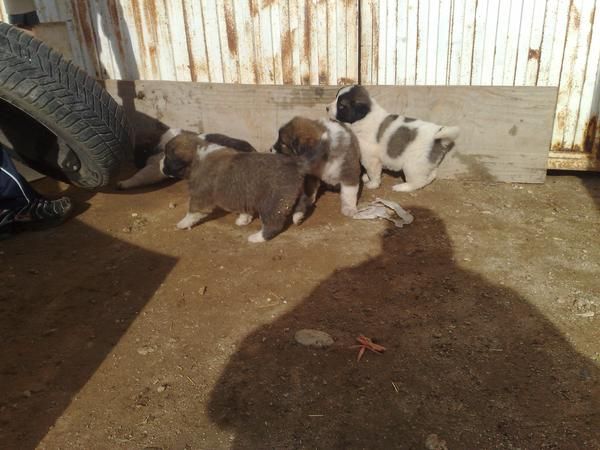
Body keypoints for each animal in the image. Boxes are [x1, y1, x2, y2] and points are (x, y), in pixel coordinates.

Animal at [159, 132, 318, 243]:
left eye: (167, 157)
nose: (159, 164)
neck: (197, 156)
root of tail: (295, 165)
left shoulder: (200, 195)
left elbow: (192, 211)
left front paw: (182, 223)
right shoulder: (243, 196)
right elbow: (245, 210)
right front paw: (243, 219)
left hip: (272, 204)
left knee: (273, 225)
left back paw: (257, 238)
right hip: (294, 193)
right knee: (302, 203)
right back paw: (298, 217)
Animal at [328, 85, 460, 192]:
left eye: (341, 106)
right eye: (335, 97)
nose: (327, 108)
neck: (364, 118)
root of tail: (436, 136)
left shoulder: (370, 159)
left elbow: (373, 172)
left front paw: (372, 184)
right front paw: (366, 177)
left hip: (412, 166)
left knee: (417, 182)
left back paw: (403, 187)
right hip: (425, 164)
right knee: (431, 175)